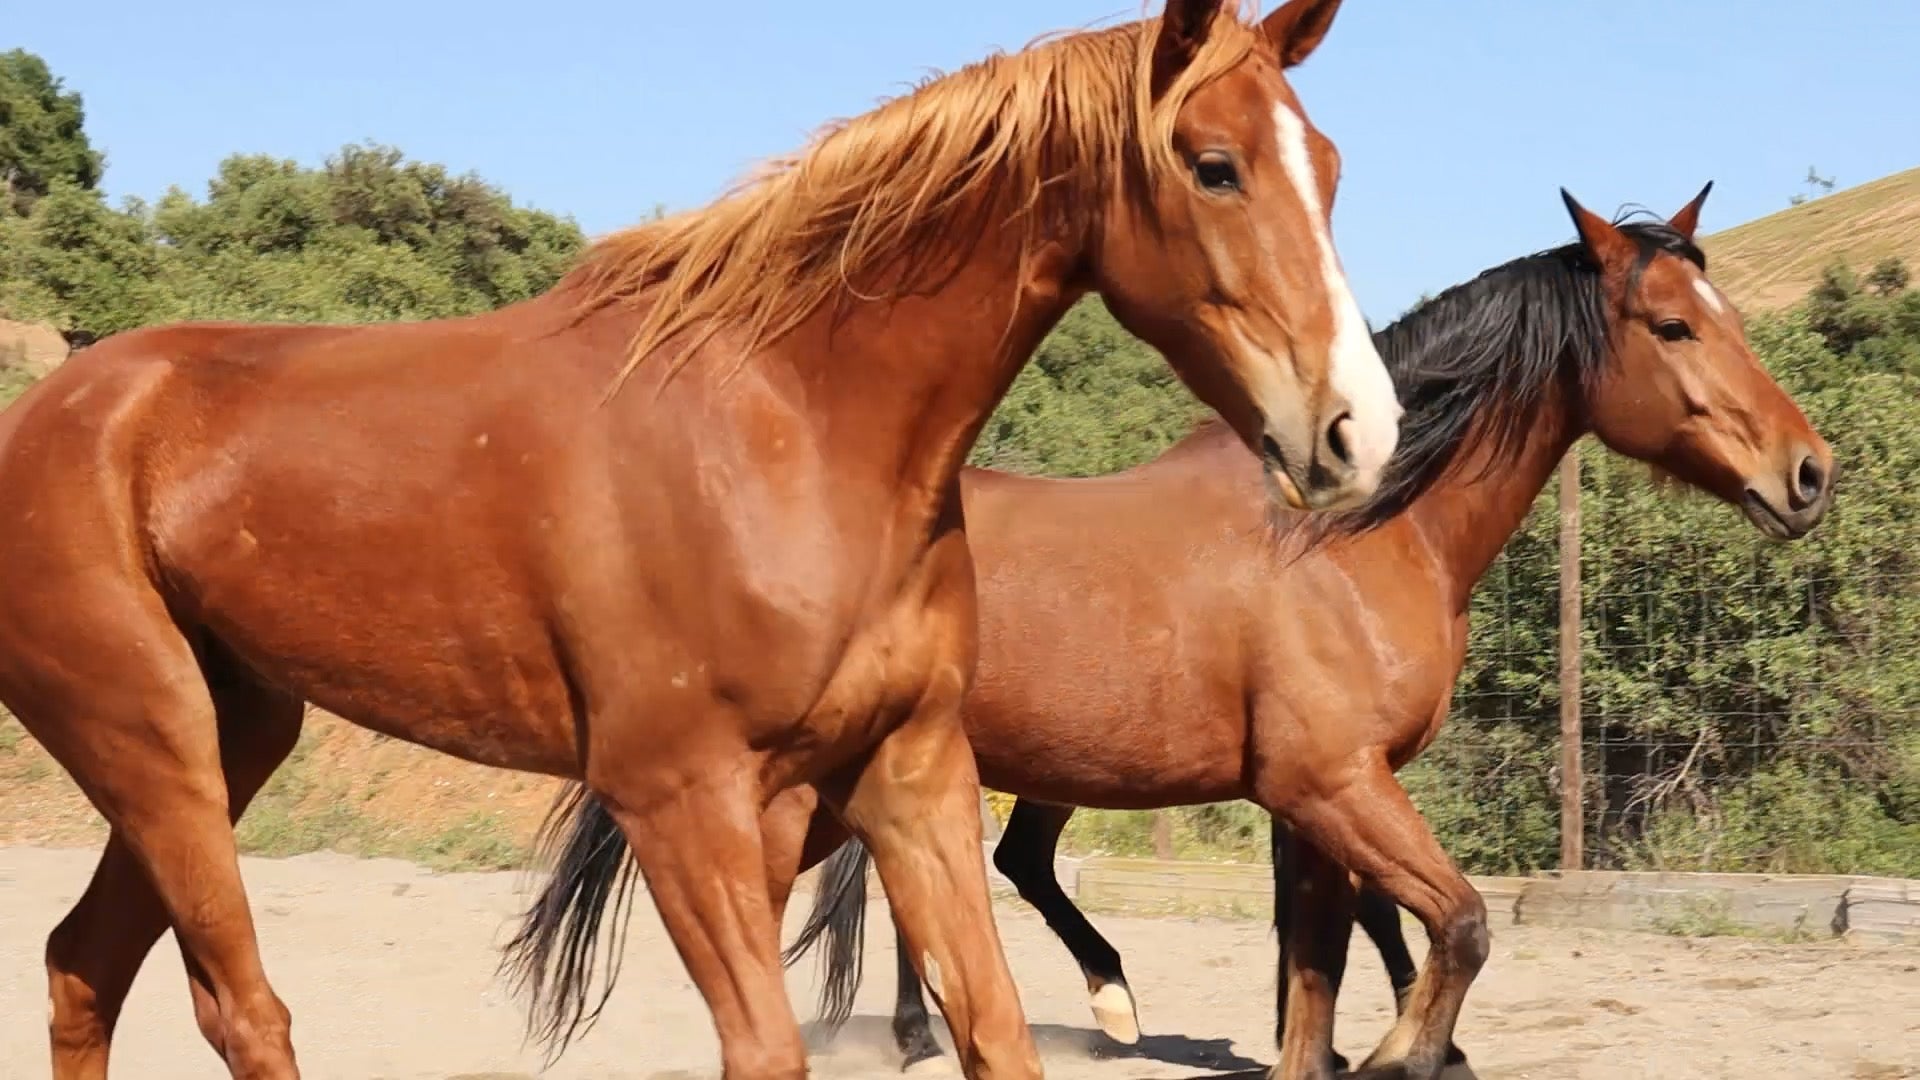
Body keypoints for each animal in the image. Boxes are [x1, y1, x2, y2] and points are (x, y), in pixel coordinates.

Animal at [0, 2, 1401, 1078]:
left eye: (1332, 166)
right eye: (1213, 164)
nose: (1358, 431)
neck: (789, 421)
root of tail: (57, 409)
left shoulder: (908, 772)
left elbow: (994, 1032)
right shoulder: (679, 802)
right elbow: (768, 1047)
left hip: (231, 737)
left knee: (80, 968)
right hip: (159, 751)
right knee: (239, 1008)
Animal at [514, 182, 1838, 1080]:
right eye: (1672, 327)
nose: (1808, 472)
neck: (1350, 541)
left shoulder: (1317, 806)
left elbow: (1321, 979)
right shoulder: (1333, 785)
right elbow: (1453, 928)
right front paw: (1407, 1054)